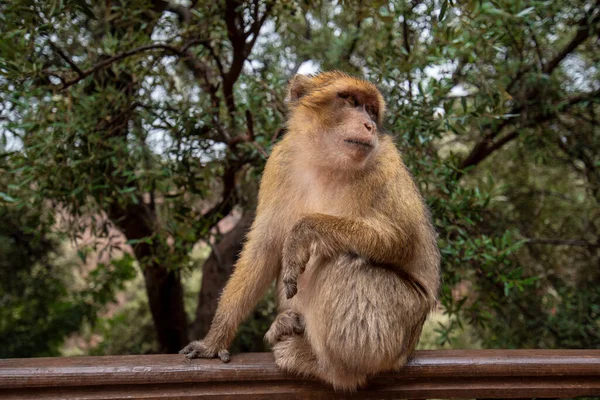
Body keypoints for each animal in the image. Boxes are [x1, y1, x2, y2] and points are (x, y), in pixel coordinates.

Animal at [179, 71, 440, 390]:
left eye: (370, 109)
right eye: (350, 100)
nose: (370, 125)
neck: (326, 160)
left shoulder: (385, 161)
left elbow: (404, 240)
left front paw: (303, 232)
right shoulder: (279, 162)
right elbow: (264, 249)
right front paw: (213, 341)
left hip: (401, 325)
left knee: (345, 264)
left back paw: (327, 366)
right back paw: (285, 327)